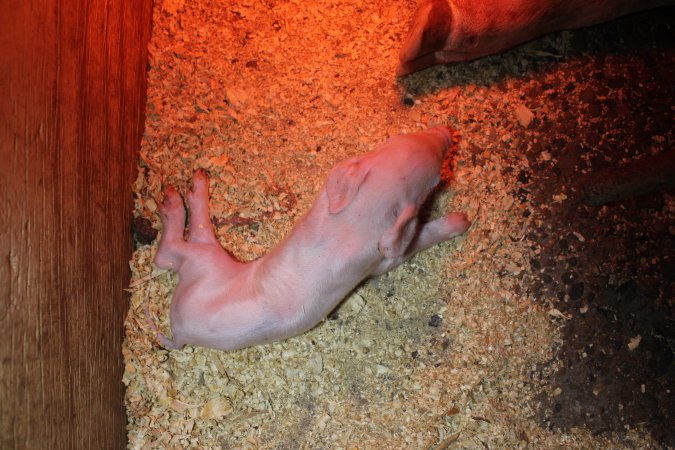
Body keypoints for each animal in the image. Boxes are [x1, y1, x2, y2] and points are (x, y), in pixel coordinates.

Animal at [153, 126, 470, 352]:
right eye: (398, 137)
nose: (446, 130)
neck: (355, 219)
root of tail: (179, 332)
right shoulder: (383, 259)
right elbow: (417, 239)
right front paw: (464, 220)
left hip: (206, 262)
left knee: (177, 250)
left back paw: (188, 186)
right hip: (207, 262)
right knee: (166, 254)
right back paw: (179, 192)